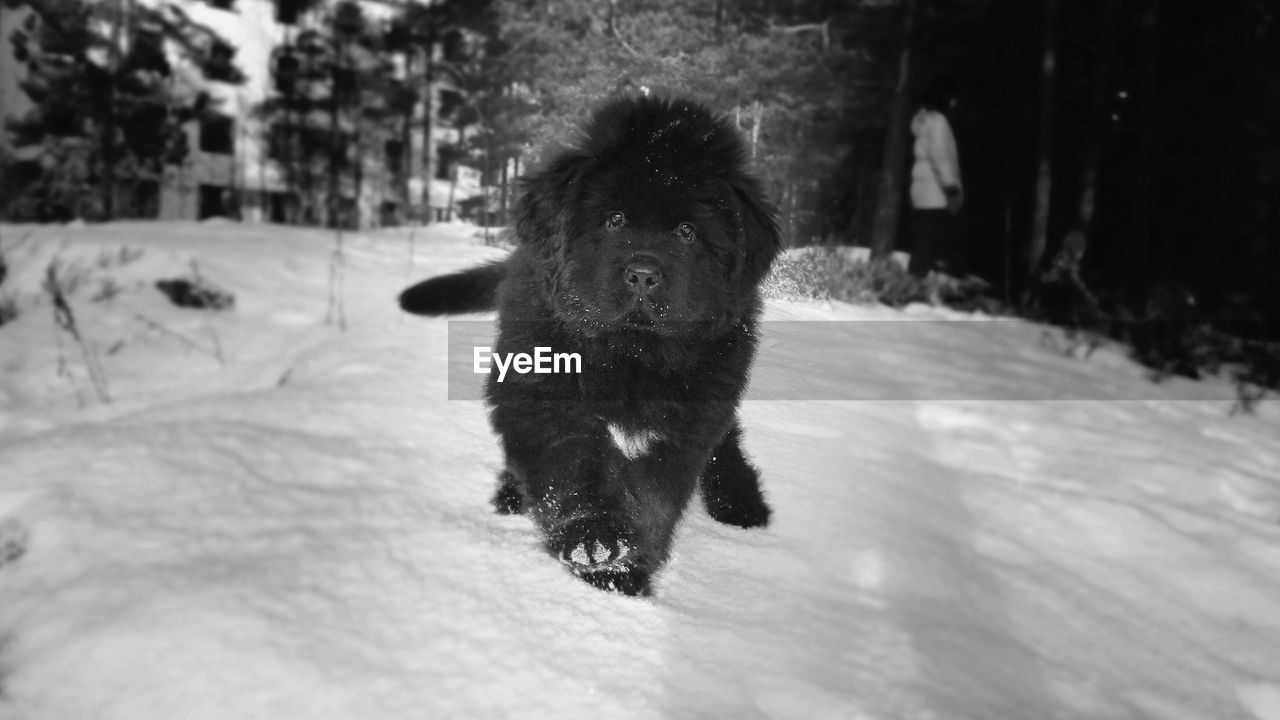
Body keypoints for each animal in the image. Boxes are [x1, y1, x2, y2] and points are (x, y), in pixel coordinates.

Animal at [399, 96, 778, 594]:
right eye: (614, 220)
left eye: (687, 231)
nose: (643, 274)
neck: (630, 353)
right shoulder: (544, 391)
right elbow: (575, 463)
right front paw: (596, 542)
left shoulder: (691, 414)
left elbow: (656, 495)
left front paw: (626, 571)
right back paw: (510, 494)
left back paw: (740, 499)